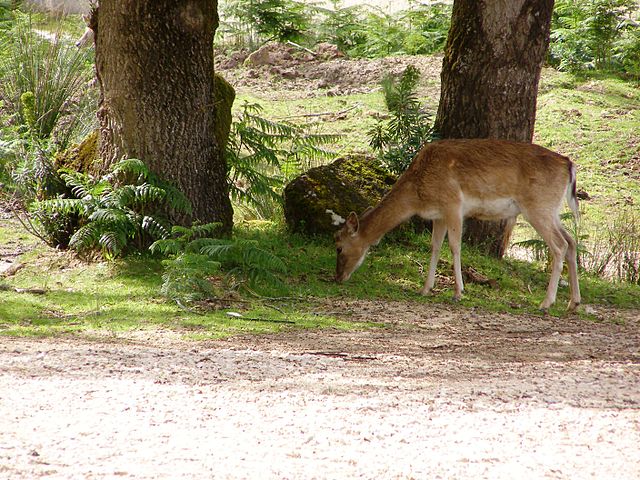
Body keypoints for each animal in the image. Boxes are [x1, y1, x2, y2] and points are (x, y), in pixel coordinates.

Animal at [336, 139, 580, 312]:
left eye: (338, 246)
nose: (337, 277)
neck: (417, 194)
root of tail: (569, 165)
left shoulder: (453, 204)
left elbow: (454, 246)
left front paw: (458, 292)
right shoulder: (439, 215)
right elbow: (434, 247)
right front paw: (425, 288)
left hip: (538, 207)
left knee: (559, 245)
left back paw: (546, 303)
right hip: (552, 211)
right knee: (571, 241)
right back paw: (573, 303)